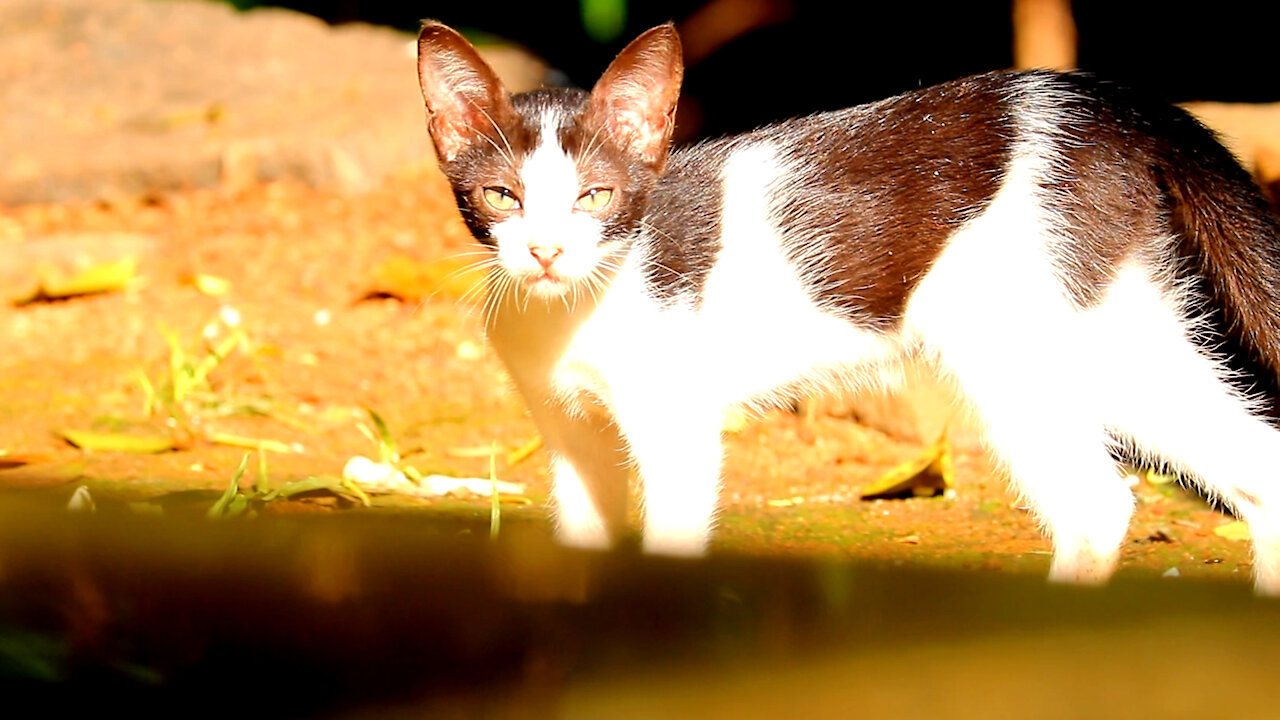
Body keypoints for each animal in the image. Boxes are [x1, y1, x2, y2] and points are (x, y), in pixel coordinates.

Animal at [417, 20, 1280, 594]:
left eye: (595, 197)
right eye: (501, 197)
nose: (545, 253)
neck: (575, 305)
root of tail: (1106, 104)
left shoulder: (676, 420)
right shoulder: (572, 436)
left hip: (1015, 335)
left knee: (1096, 505)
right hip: (1112, 320)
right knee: (1255, 461)